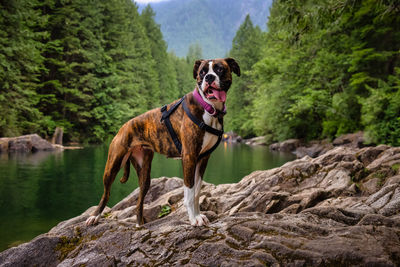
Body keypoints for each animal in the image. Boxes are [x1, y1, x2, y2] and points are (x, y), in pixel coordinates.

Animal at [85, 57, 239, 227]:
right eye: (202, 72)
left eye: (219, 69)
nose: (209, 77)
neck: (208, 107)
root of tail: (124, 127)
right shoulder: (189, 157)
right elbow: (189, 193)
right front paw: (193, 218)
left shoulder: (203, 159)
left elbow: (197, 192)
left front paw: (199, 215)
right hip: (112, 165)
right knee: (106, 193)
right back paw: (95, 217)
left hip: (144, 174)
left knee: (139, 203)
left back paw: (139, 225)